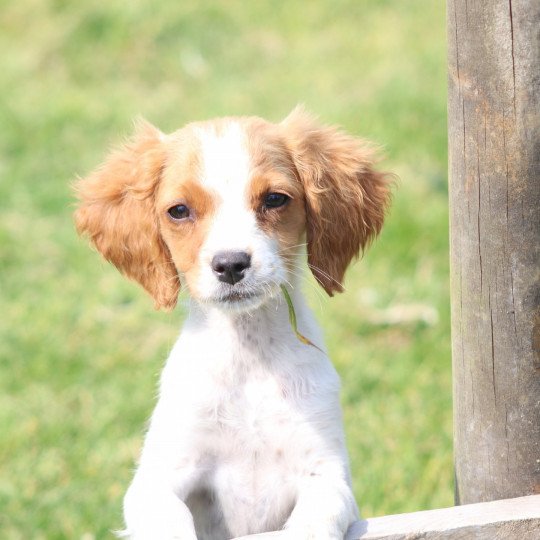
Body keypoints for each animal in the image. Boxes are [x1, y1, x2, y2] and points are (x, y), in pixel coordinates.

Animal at [74, 106, 390, 540]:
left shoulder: (326, 475)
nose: (230, 264)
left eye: (275, 199)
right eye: (179, 210)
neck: (249, 359)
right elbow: (169, 522)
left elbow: (314, 520)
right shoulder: (155, 480)